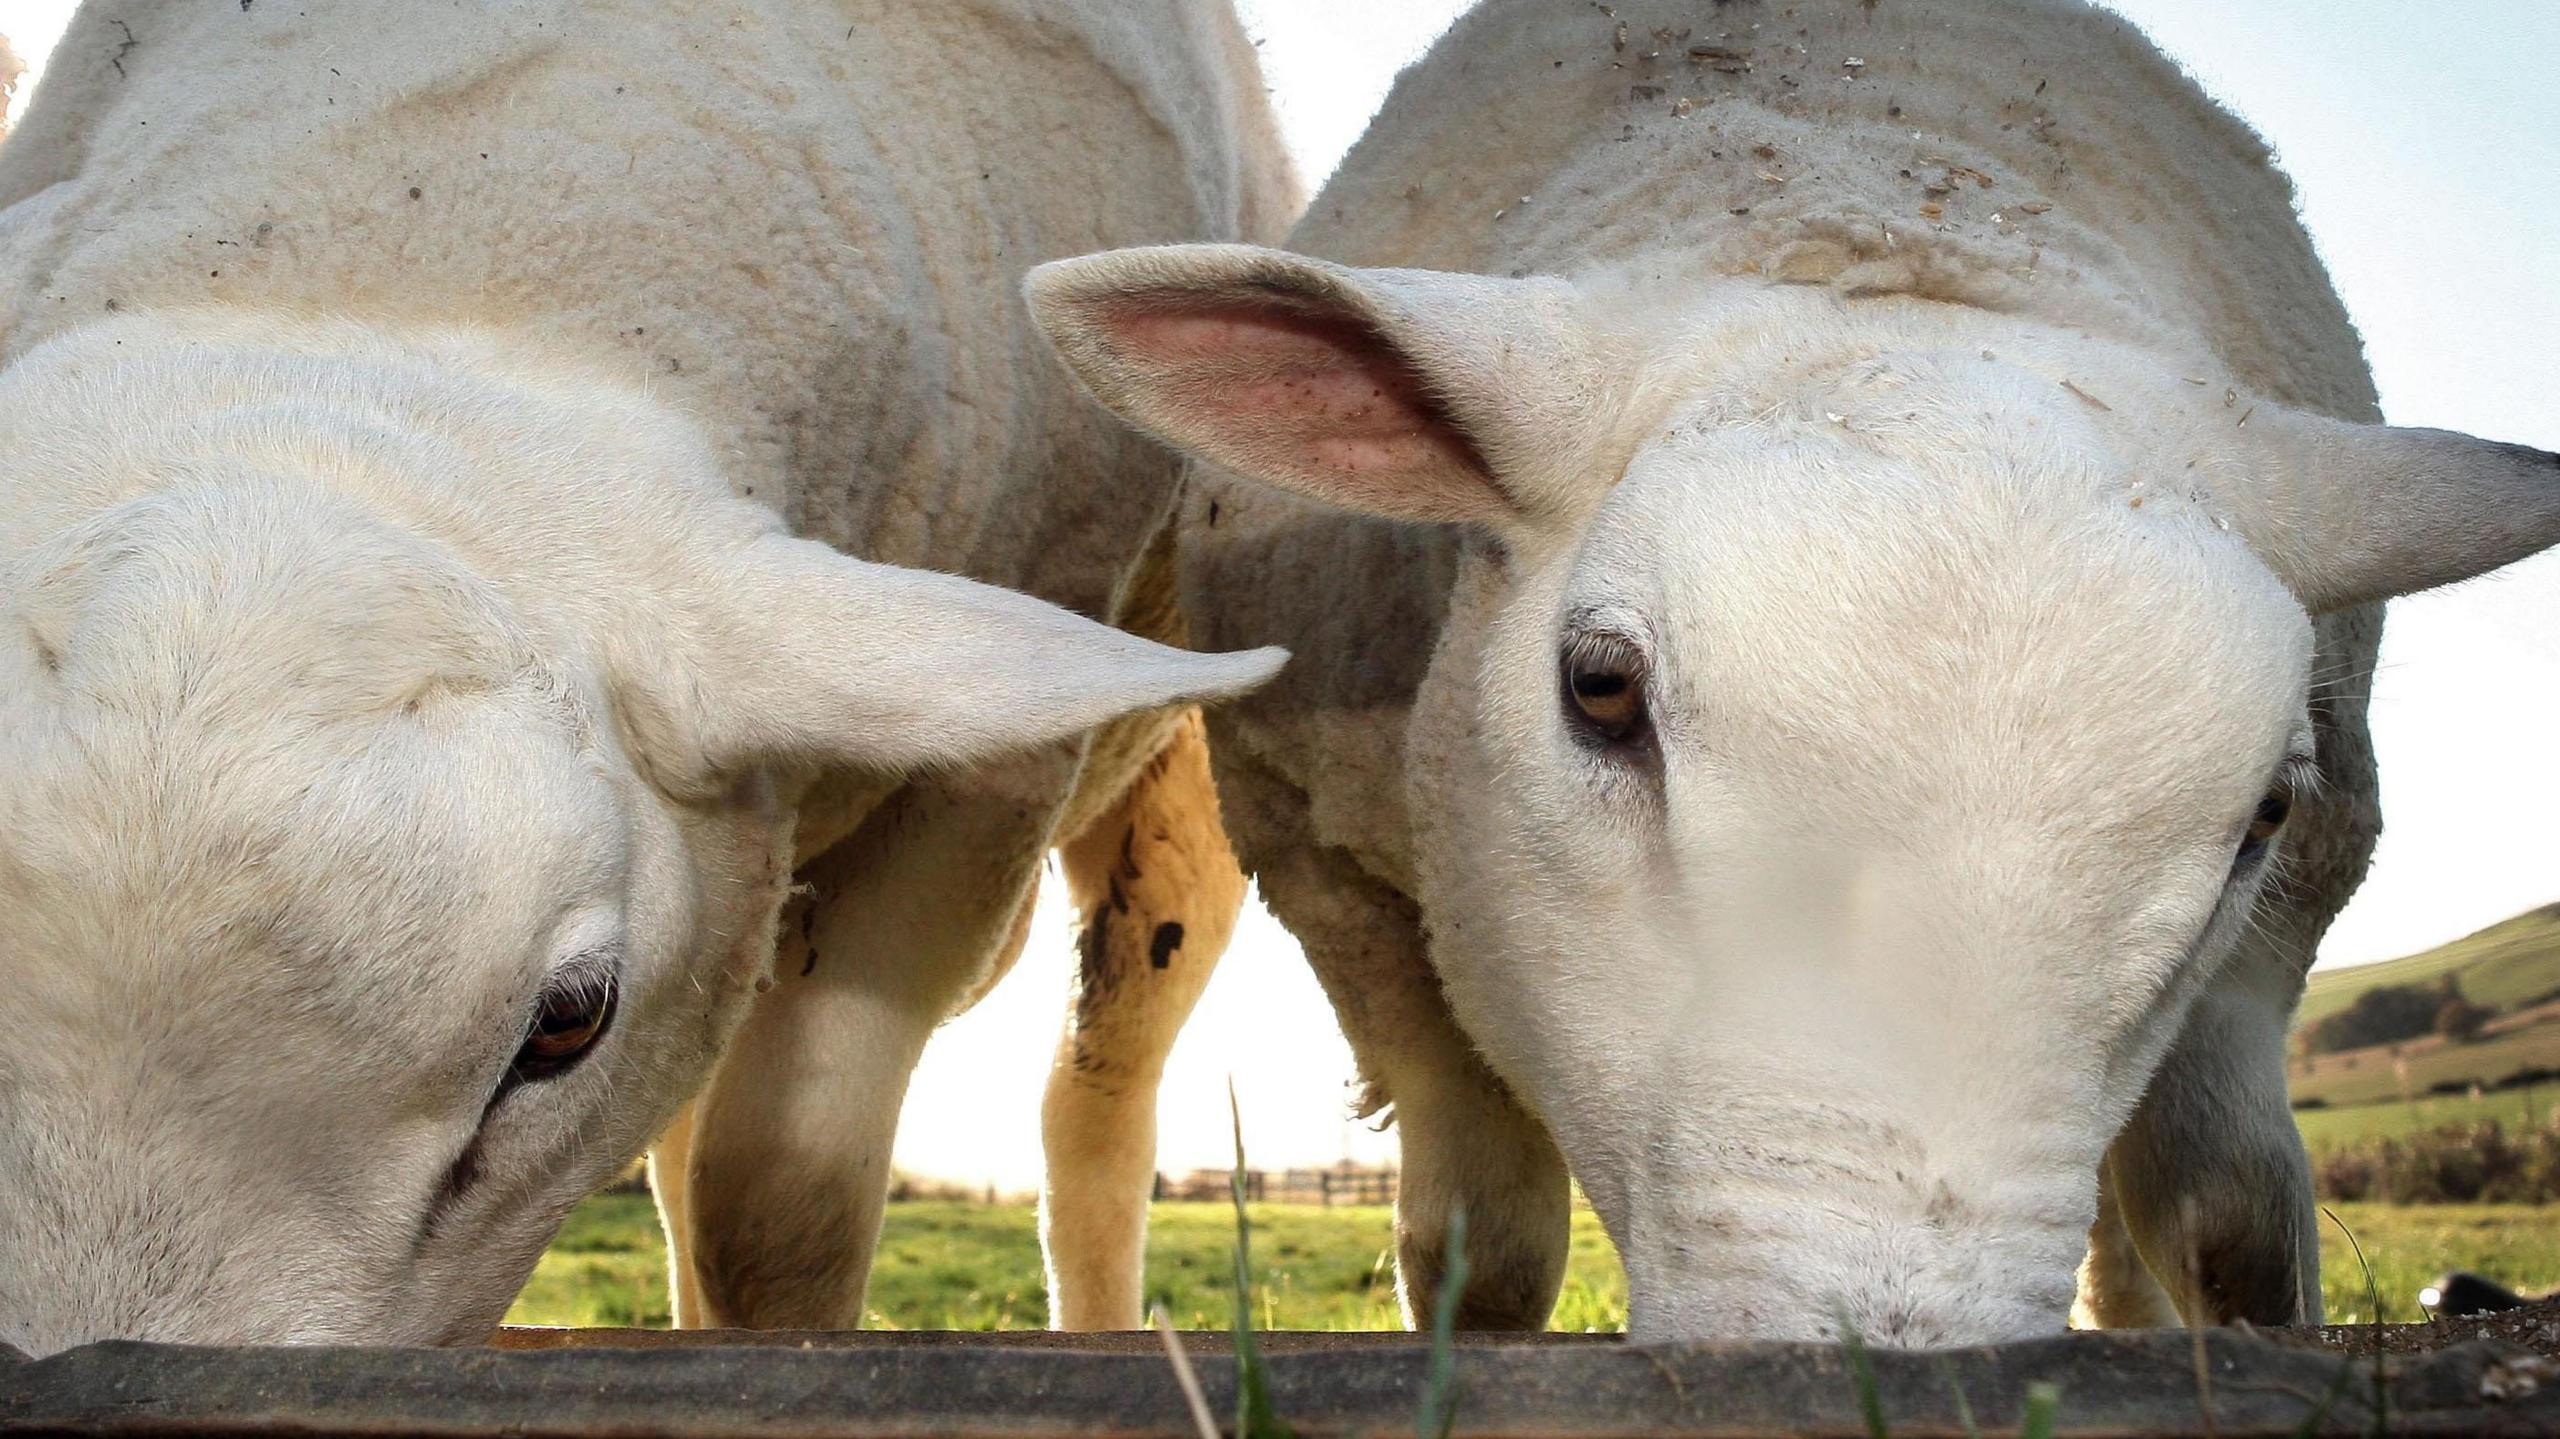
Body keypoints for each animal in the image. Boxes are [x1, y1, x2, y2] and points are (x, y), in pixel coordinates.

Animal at [1034, 0, 2560, 1341]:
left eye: (2265, 811)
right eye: (1598, 687)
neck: (1872, 197)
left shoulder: (2289, 918)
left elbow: (2232, 1218)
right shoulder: (1347, 894)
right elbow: (1482, 1239)